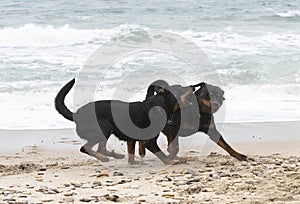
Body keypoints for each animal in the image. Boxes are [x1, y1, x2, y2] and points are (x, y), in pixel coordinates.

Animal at [54, 78, 195, 164]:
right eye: (180, 88)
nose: (193, 86)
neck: (160, 105)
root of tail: (76, 115)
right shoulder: (149, 142)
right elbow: (162, 155)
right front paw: (171, 162)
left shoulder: (132, 139)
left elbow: (131, 152)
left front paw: (132, 162)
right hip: (105, 126)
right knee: (85, 148)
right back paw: (103, 157)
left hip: (107, 129)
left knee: (100, 148)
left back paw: (114, 155)